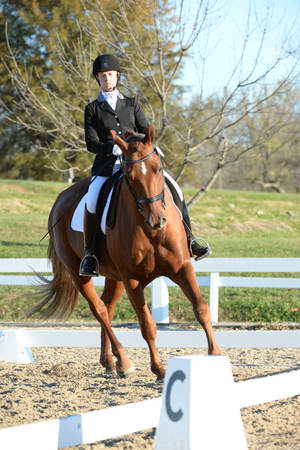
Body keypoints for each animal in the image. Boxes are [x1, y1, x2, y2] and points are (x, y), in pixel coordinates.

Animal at [32, 125, 220, 380]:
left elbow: (201, 309)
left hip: (114, 276)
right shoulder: (132, 280)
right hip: (78, 272)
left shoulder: (181, 268)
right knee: (99, 309)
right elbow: (147, 325)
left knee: (108, 307)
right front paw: (159, 369)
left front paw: (216, 355)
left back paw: (110, 362)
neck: (150, 231)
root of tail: (60, 199)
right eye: (130, 177)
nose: (157, 220)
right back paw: (123, 359)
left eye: (158, 169)